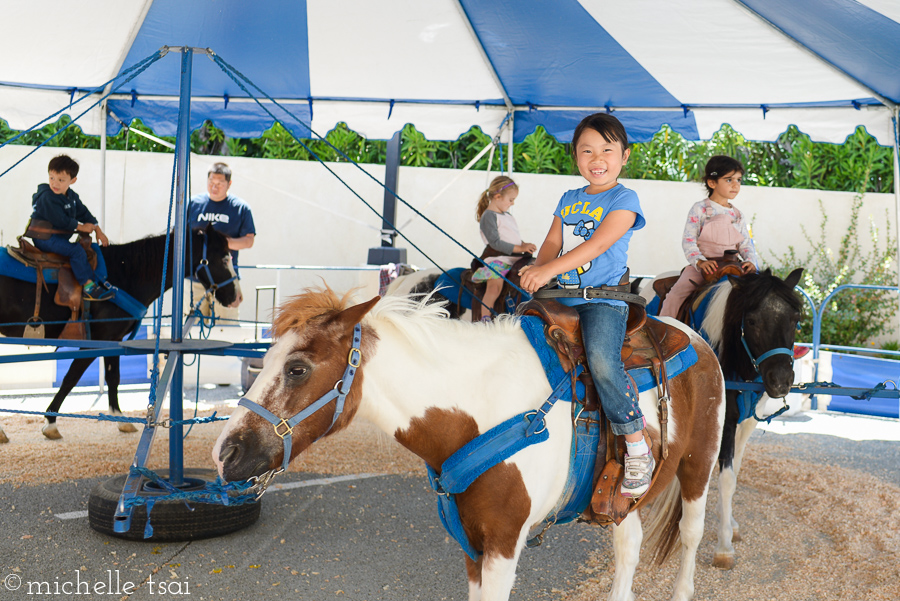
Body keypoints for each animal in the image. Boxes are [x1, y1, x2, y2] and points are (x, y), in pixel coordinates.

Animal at [0, 223, 241, 438]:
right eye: (224, 257)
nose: (237, 297)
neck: (124, 274)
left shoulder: (114, 339)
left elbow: (113, 377)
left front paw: (120, 418)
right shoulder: (98, 340)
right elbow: (71, 378)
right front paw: (50, 422)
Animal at [213, 286, 724, 600]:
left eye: (297, 368)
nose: (225, 452)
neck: (480, 410)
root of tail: (692, 336)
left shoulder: (503, 546)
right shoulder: (472, 546)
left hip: (699, 465)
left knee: (690, 534)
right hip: (620, 503)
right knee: (628, 545)